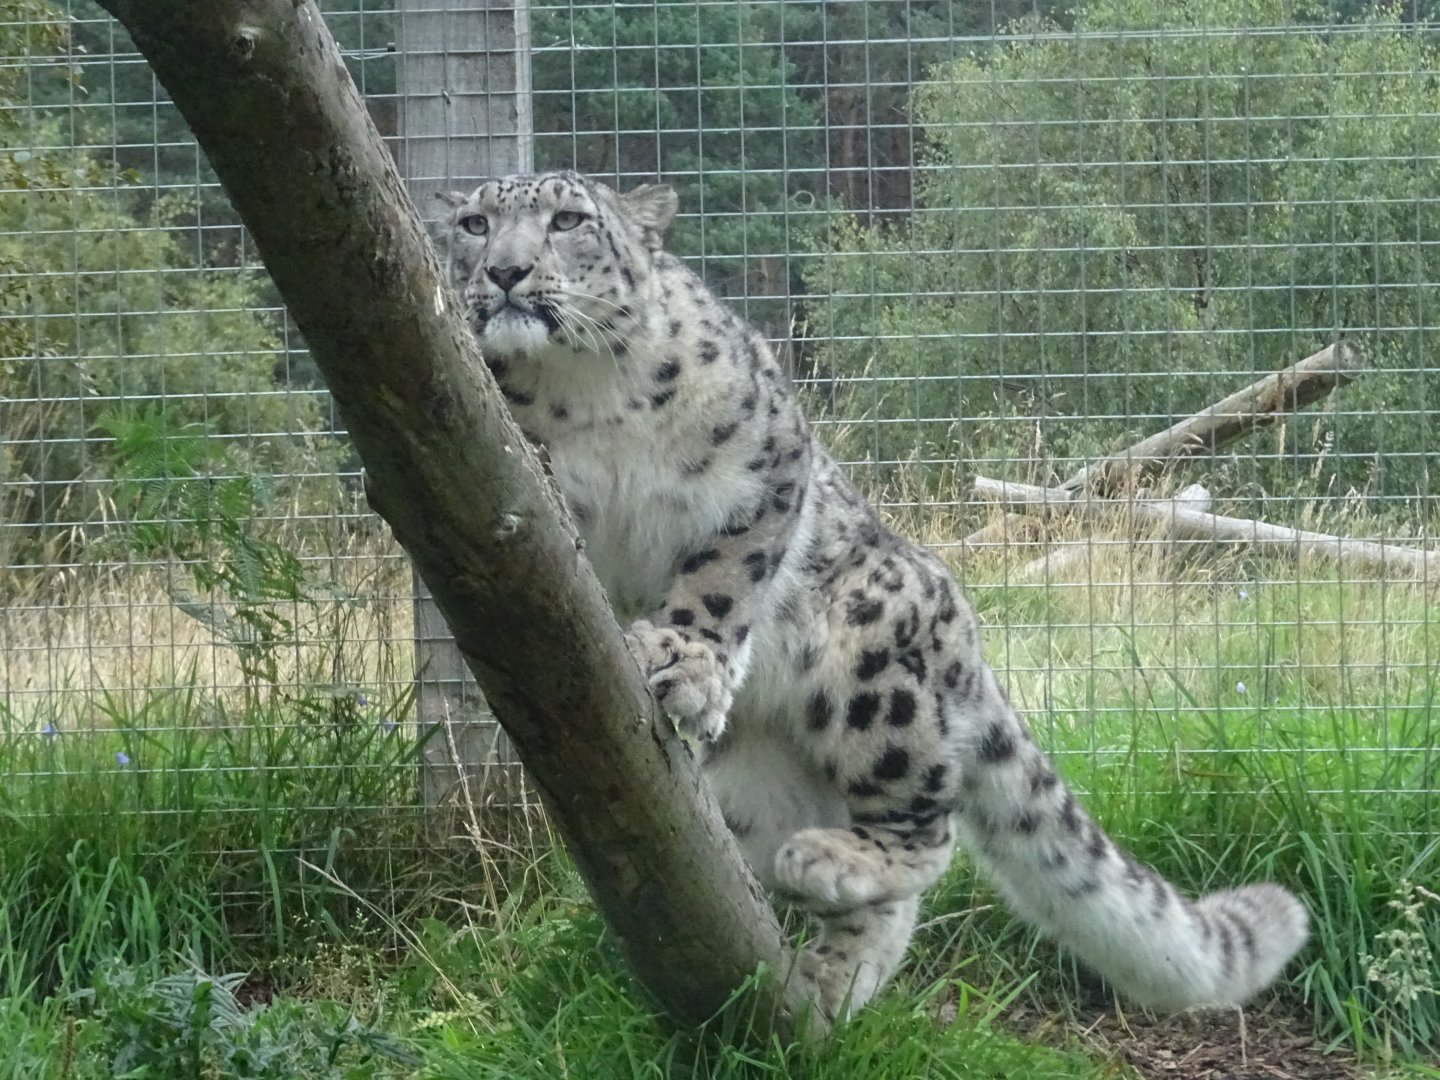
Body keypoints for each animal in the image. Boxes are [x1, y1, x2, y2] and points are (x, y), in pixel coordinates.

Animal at [436, 170, 1309, 1019]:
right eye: (474, 225)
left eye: (569, 220)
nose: (505, 272)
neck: (586, 393)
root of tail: (969, 650)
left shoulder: (769, 468)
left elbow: (723, 576)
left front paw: (685, 657)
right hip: (751, 786)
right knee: (879, 894)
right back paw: (833, 973)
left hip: (873, 669)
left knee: (928, 832)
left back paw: (835, 864)